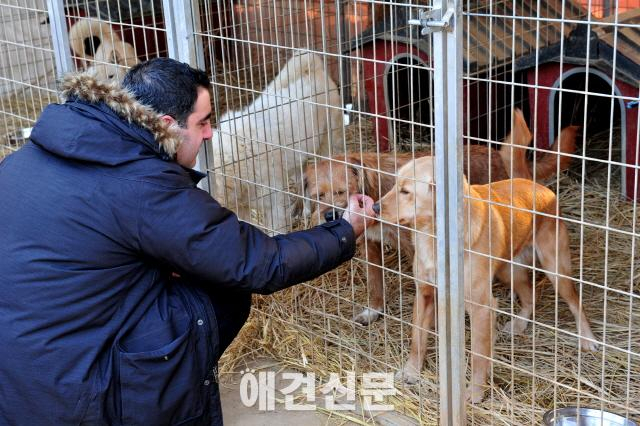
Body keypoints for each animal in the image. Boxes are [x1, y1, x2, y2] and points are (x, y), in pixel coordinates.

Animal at [214, 53, 344, 233]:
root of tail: (312, 67)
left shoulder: (273, 203)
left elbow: (276, 230)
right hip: (298, 159)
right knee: (303, 184)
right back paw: (301, 212)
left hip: (327, 146)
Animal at [302, 108, 576, 324]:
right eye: (318, 195)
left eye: (341, 191)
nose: (329, 216)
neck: (376, 187)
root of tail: (500, 156)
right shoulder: (371, 245)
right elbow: (374, 284)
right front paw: (374, 311)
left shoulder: (415, 246)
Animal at [372, 156, 596, 402]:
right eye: (394, 185)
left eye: (405, 191)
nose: (374, 207)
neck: (435, 237)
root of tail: (534, 184)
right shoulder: (425, 294)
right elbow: (417, 338)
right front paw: (411, 371)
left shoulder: (481, 307)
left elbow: (478, 355)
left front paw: (475, 393)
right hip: (509, 271)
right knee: (530, 296)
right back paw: (519, 324)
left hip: (556, 269)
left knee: (576, 302)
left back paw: (587, 339)